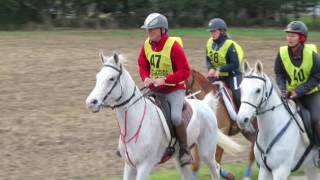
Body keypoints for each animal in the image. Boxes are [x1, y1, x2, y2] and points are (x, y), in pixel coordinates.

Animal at [86, 52, 241, 180]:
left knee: (215, 170)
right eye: (98, 77)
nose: (91, 102)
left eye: (111, 78)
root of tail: (205, 105)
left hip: (206, 152)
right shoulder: (129, 166)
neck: (135, 123)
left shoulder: (144, 166)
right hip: (181, 160)